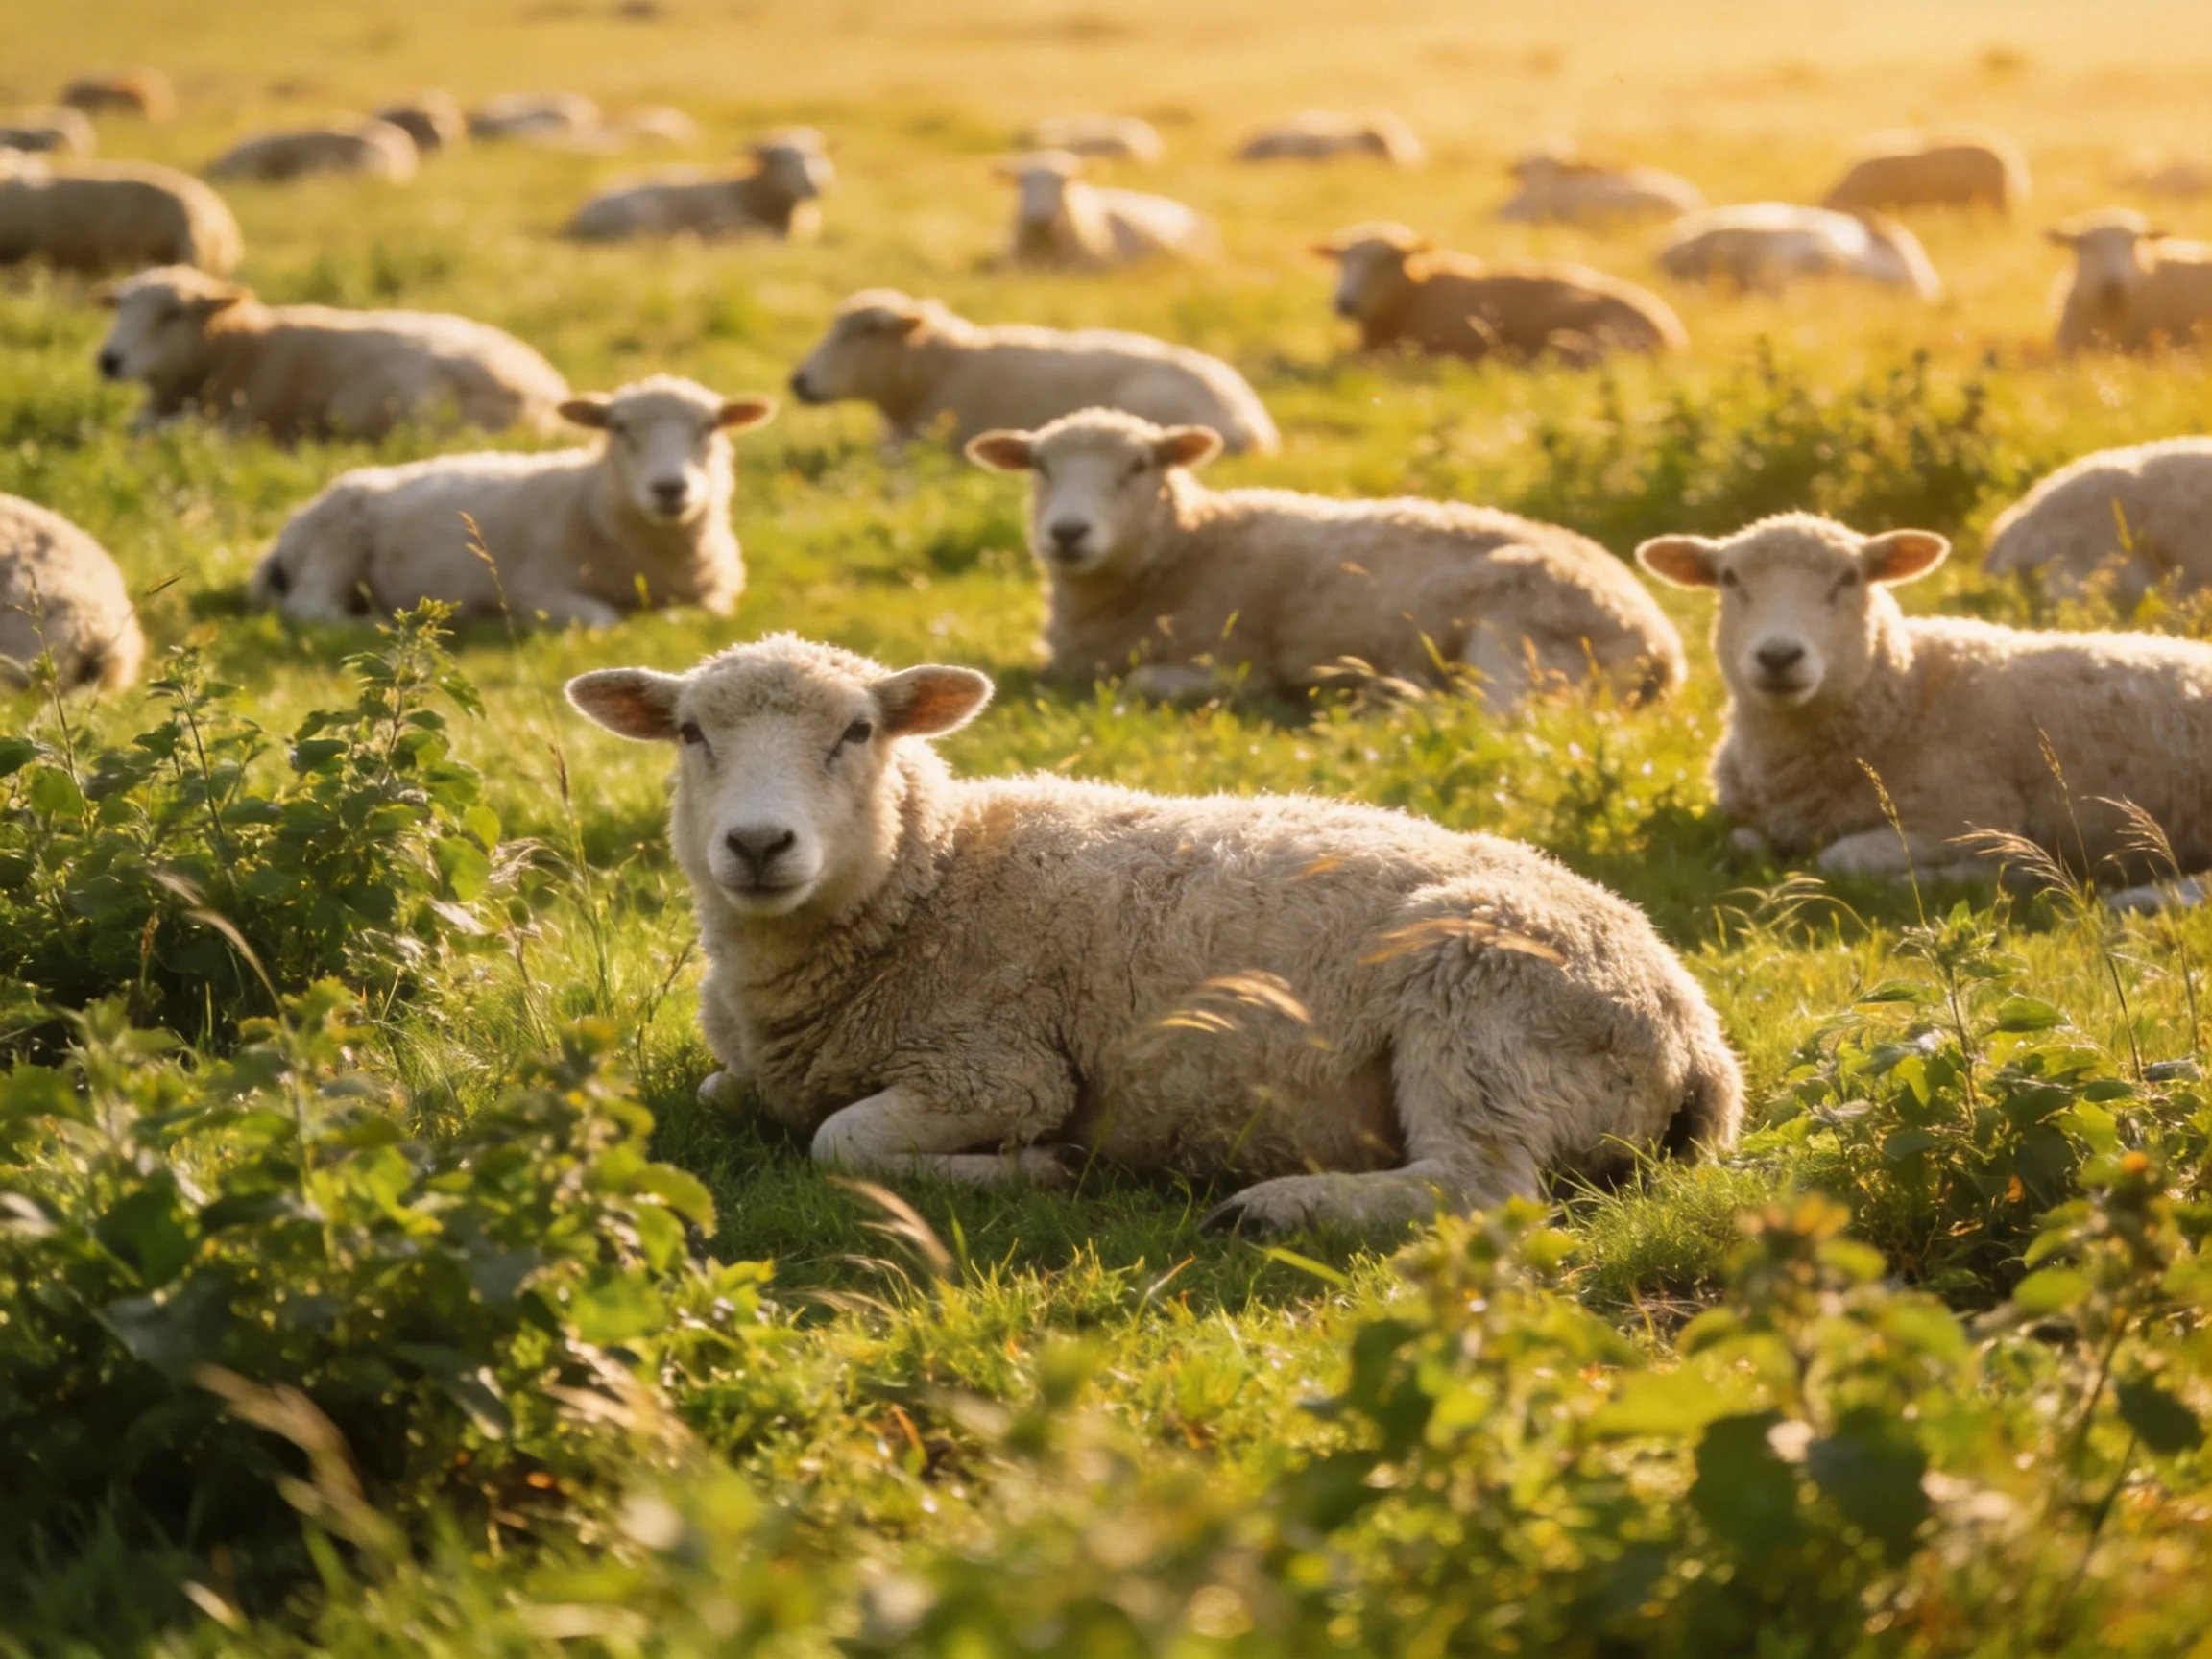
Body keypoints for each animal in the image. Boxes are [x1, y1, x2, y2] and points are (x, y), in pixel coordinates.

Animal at [249, 375, 773, 628]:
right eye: (619, 427)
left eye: (710, 427)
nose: (669, 488)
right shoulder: (535, 589)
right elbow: (605, 619)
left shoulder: (719, 594)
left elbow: (701, 612)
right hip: (334, 546)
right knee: (311, 609)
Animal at [564, 634, 1742, 1234]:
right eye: (689, 733)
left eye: (858, 731)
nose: (759, 844)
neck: (930, 879)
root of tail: (1702, 1040)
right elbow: (723, 1094)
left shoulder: (996, 1068)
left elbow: (836, 1142)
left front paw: (1043, 1170)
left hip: (1480, 1006)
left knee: (1483, 1189)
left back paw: (1274, 1208)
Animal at [967, 407, 1683, 711]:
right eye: (1039, 465)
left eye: (1139, 465)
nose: (1067, 533)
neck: (1184, 548)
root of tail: (1665, 649)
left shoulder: (1234, 659)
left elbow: (1144, 683)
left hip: (1521, 641)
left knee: (1498, 718)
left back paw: (1384, 695)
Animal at [1636, 512, 2212, 908]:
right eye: (1730, 579)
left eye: (1850, 578)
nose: (1779, 656)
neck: (1904, 694)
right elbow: (1742, 842)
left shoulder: (1968, 817)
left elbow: (1839, 858)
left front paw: (1994, 876)